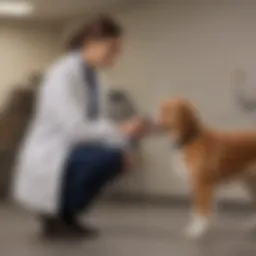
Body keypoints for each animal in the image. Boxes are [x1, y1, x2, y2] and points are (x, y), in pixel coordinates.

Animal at [157, 98, 256, 240]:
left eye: (171, 111)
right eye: (162, 109)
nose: (157, 123)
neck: (191, 139)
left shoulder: (203, 184)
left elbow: (201, 209)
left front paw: (197, 230)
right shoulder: (195, 184)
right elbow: (195, 208)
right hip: (251, 184)